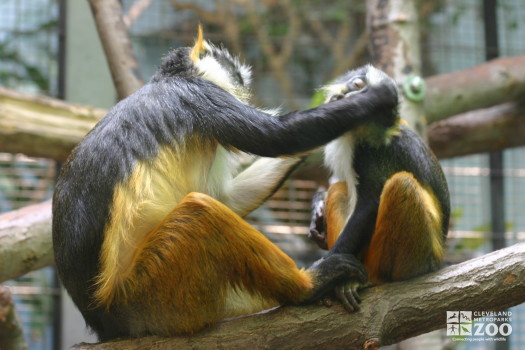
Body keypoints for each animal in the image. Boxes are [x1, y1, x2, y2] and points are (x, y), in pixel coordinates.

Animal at [52, 28, 398, 340]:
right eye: (229, 65)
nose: (243, 76)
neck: (168, 79)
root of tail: (107, 320)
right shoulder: (197, 97)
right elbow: (279, 138)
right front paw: (377, 99)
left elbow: (228, 197)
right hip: (152, 293)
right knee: (200, 212)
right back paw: (309, 286)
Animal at [308, 65, 450, 312]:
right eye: (357, 85)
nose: (349, 99)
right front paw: (317, 209)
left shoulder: (369, 152)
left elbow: (370, 204)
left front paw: (324, 274)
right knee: (340, 190)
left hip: (417, 258)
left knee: (401, 184)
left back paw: (368, 280)